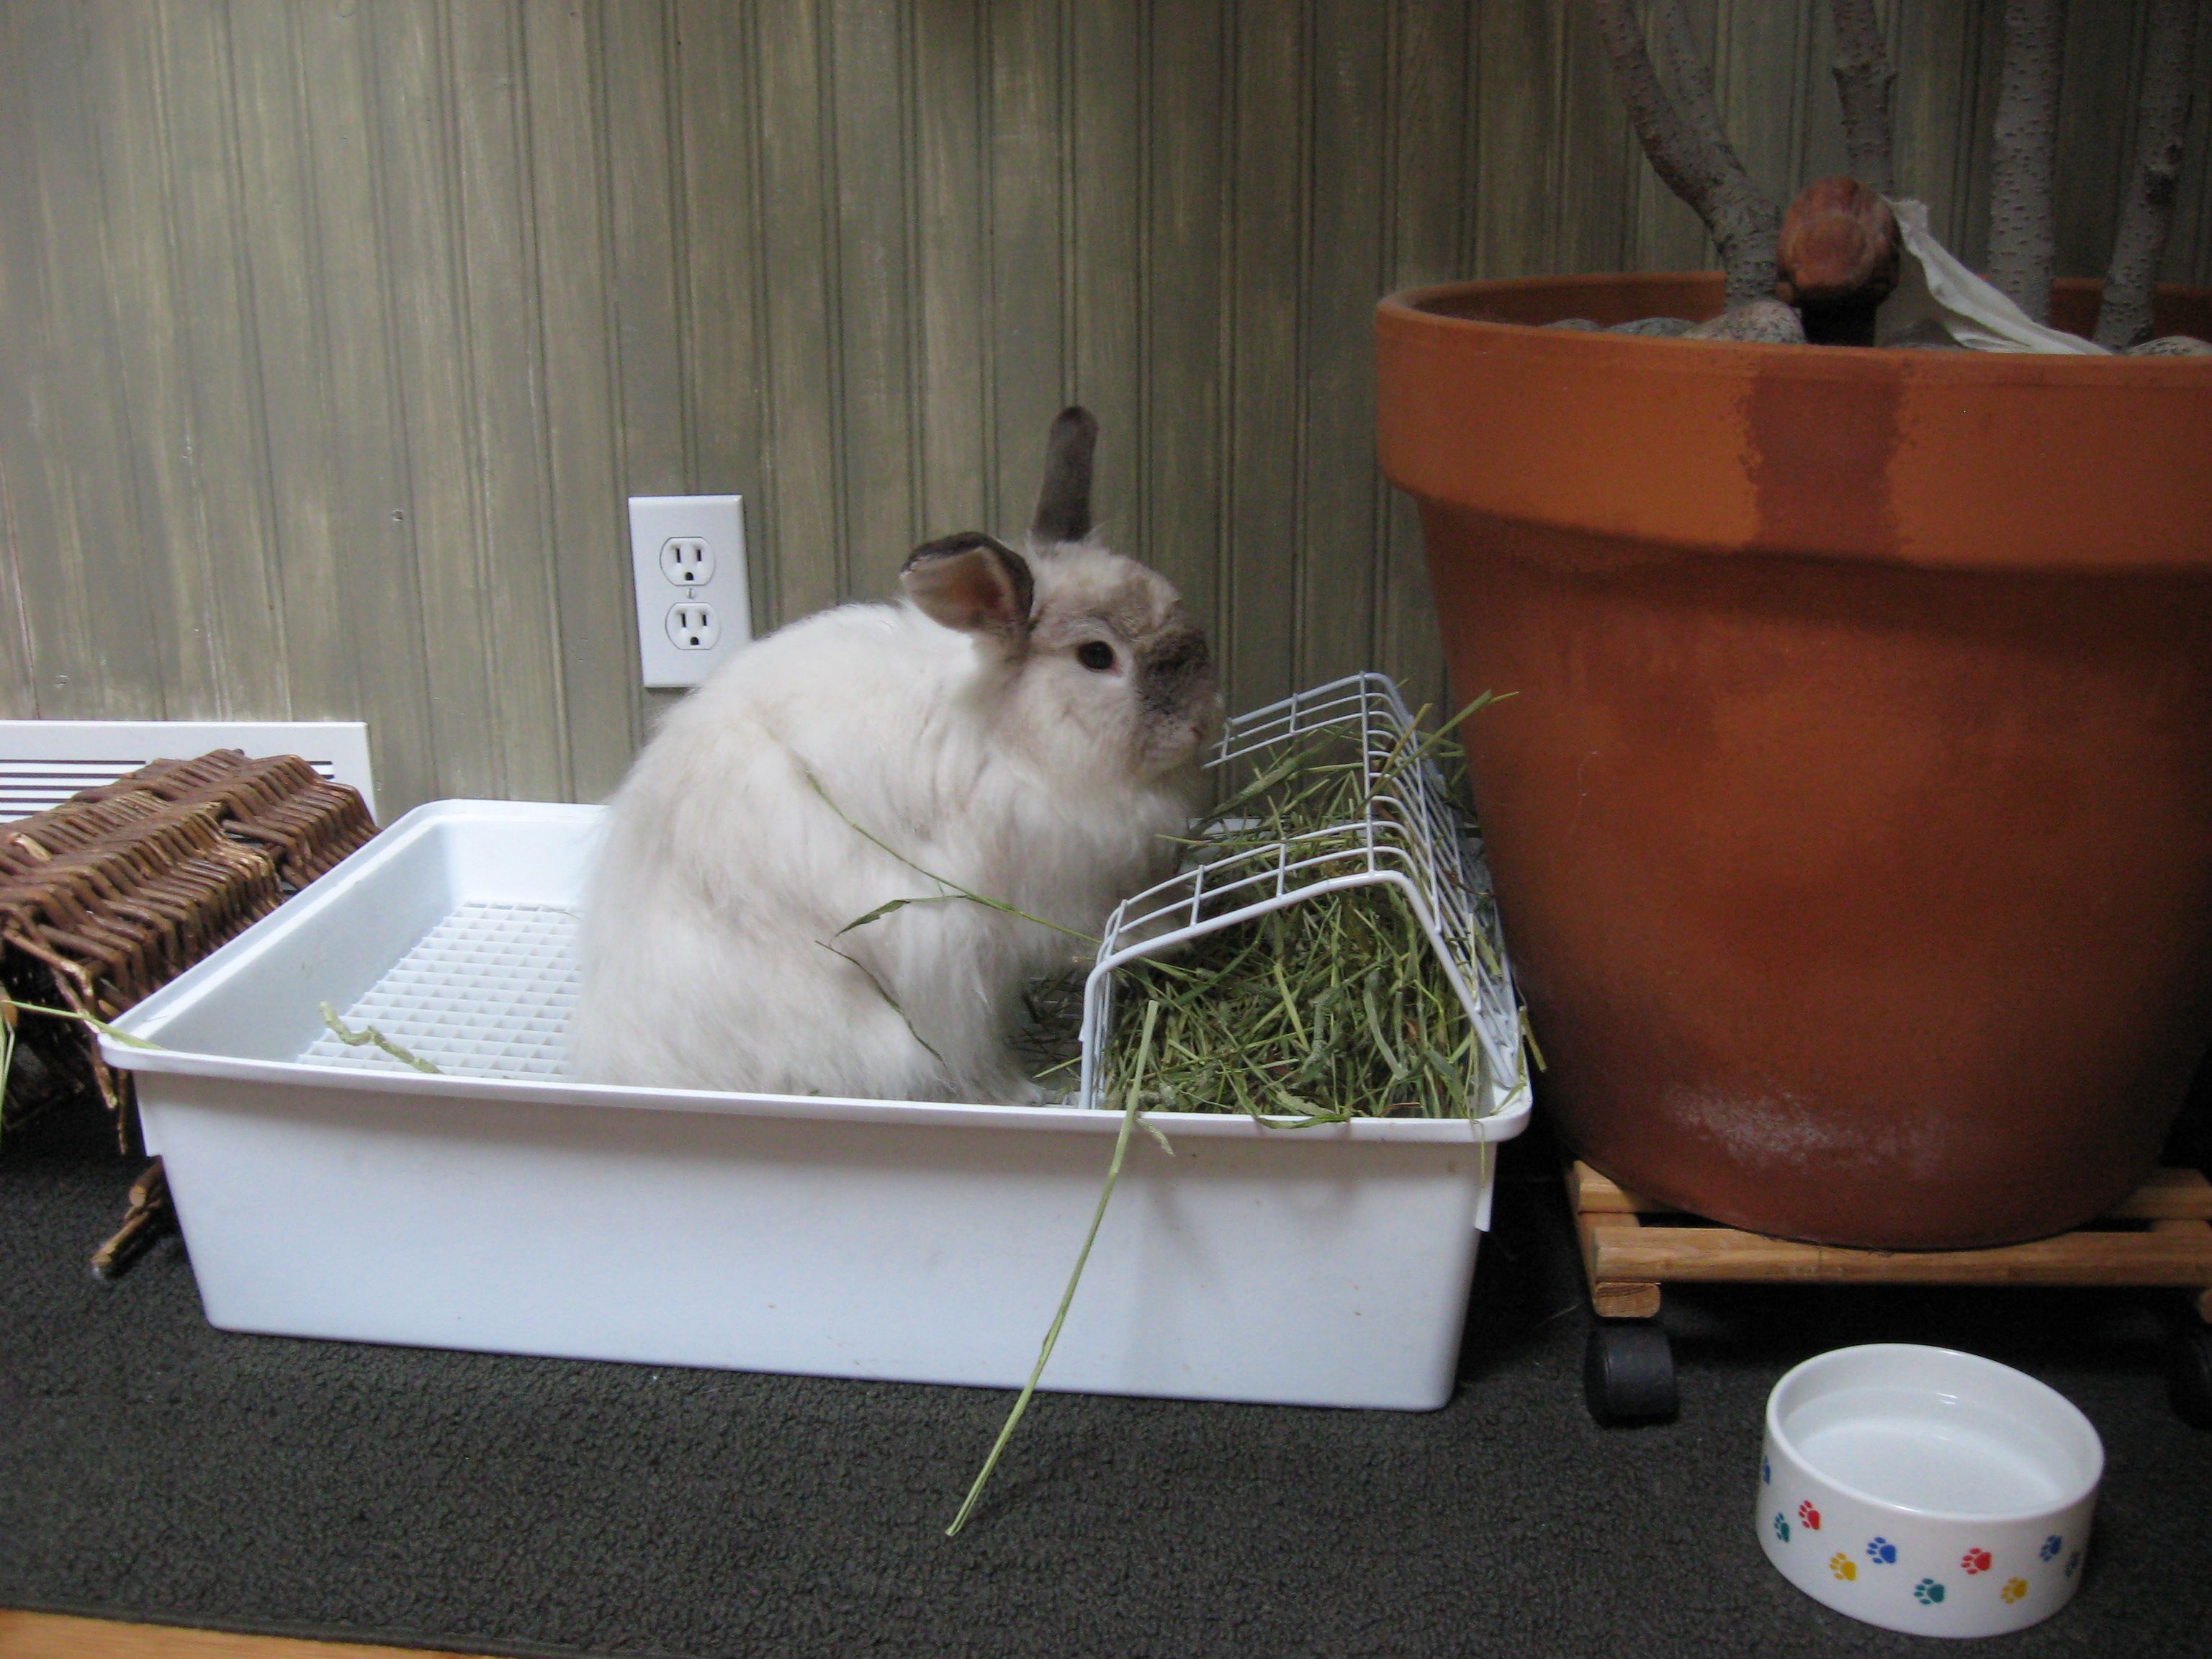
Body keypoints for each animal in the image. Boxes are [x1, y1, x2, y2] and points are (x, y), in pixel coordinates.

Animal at [569, 407, 1222, 1104]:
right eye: (1097, 656)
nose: (1200, 722)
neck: (1011, 738)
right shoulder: (1034, 902)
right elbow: (1099, 931)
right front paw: (1161, 936)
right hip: (921, 988)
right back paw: (1019, 1092)